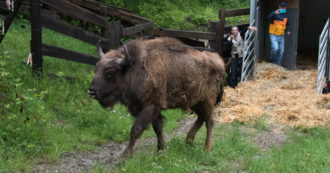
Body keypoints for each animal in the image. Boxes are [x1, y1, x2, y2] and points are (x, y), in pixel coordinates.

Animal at [89, 37, 226, 156]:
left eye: (111, 72)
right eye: (96, 68)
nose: (91, 92)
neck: (133, 67)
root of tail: (219, 62)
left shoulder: (150, 107)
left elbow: (135, 129)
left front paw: (126, 155)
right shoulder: (152, 109)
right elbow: (158, 129)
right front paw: (161, 151)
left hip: (207, 102)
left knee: (209, 122)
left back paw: (206, 148)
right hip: (195, 102)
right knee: (201, 118)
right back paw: (188, 141)